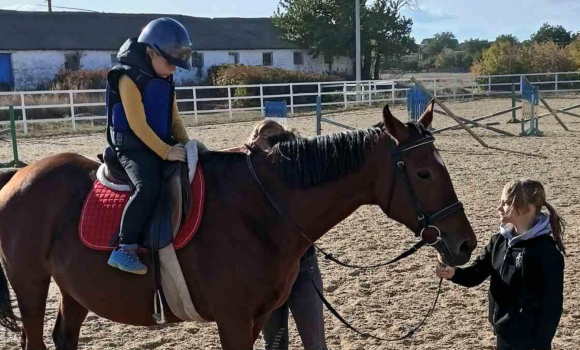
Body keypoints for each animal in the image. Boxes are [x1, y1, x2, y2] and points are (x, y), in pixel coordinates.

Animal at [0, 104, 476, 350]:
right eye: (423, 173)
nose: (465, 243)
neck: (260, 210)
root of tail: (18, 177)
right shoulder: (232, 320)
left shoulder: (259, 317)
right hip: (31, 285)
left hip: (73, 290)